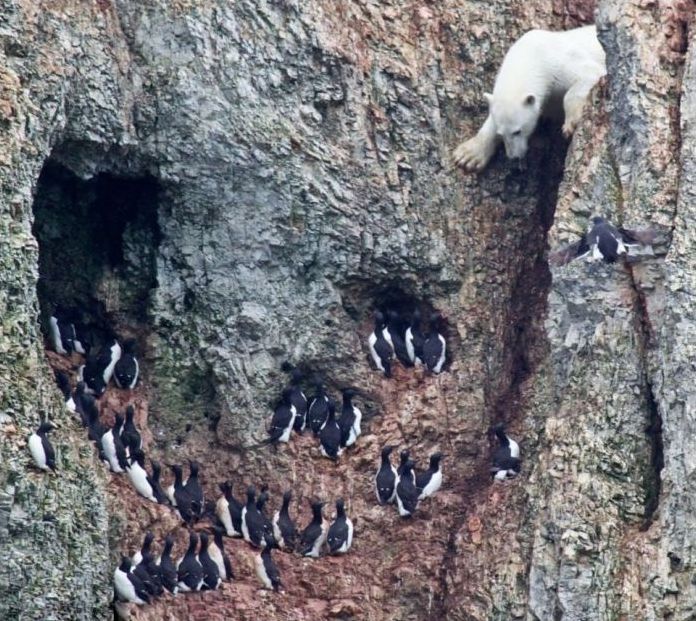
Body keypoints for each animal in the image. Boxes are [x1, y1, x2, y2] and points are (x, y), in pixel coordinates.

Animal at [452, 25, 604, 171]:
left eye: (517, 131)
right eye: (500, 134)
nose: (513, 157)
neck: (532, 57)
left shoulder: (561, 63)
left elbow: (590, 73)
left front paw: (570, 124)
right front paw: (468, 156)